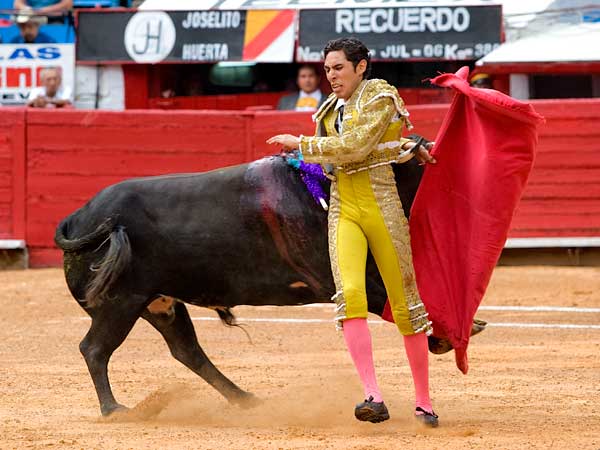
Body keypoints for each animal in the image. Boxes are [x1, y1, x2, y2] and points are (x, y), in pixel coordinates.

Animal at [55, 152, 485, 416]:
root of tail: (77, 218)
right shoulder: (339, 276)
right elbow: (390, 302)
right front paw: (445, 336)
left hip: (161, 304)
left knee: (187, 351)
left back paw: (245, 399)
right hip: (120, 303)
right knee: (94, 349)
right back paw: (113, 409)